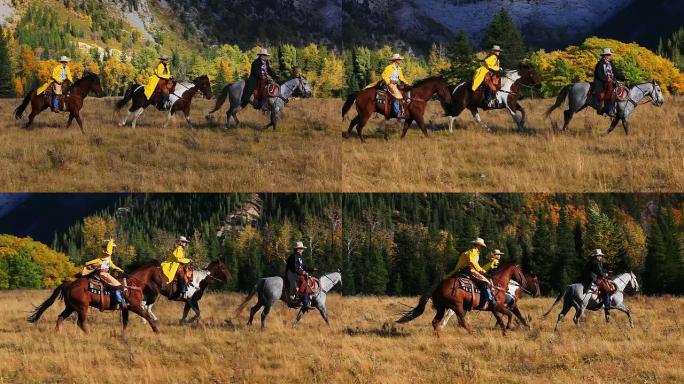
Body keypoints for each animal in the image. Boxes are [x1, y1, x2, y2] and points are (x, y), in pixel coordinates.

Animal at [27, 262, 167, 334]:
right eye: (161, 273)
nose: (165, 283)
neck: (133, 285)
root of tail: (69, 284)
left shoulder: (125, 308)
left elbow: (125, 323)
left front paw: (123, 335)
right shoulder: (135, 306)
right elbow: (148, 317)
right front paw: (156, 331)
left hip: (71, 307)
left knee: (61, 317)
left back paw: (57, 333)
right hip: (82, 307)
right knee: (81, 322)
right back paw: (89, 335)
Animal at [396, 264, 528, 336]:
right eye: (520, 271)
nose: (524, 282)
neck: (498, 284)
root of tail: (438, 286)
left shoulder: (494, 309)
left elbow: (501, 320)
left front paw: (505, 332)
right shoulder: (498, 306)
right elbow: (509, 314)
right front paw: (509, 327)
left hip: (441, 307)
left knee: (435, 321)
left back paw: (438, 336)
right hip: (457, 306)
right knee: (462, 322)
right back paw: (473, 332)